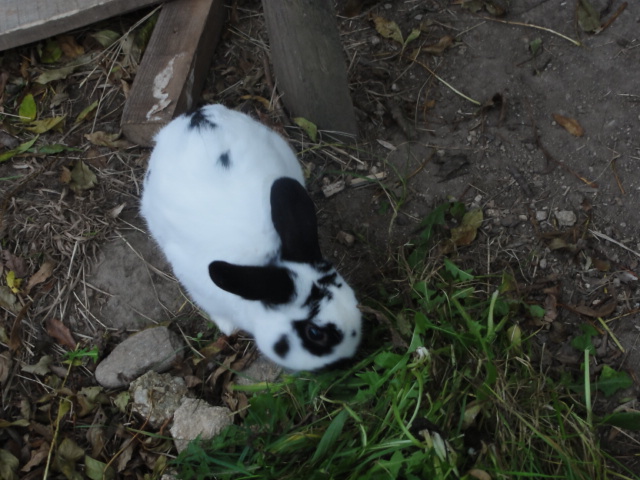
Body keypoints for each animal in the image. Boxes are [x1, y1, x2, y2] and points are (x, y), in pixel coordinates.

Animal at [139, 103, 360, 370]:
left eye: (353, 299)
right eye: (315, 334)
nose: (348, 360)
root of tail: (197, 117)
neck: (266, 264)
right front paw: (228, 328)